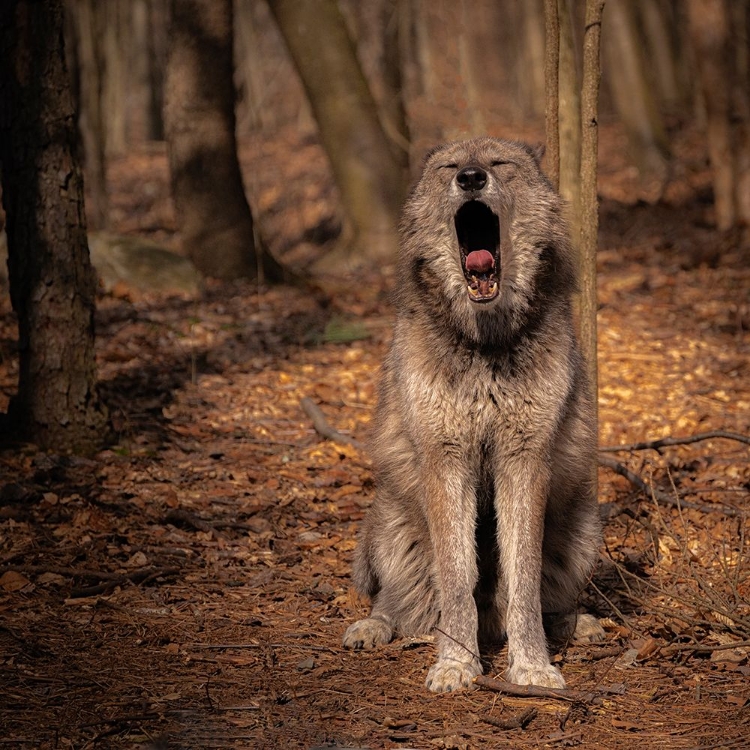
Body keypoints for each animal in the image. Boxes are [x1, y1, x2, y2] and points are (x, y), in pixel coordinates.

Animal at [342, 137, 604, 692]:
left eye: (500, 163)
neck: (484, 345)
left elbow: (523, 580)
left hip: (583, 529)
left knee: (547, 602)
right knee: (395, 604)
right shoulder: (446, 459)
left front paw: (532, 667)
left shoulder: (524, 460)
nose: (470, 177)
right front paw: (457, 664)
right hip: (389, 527)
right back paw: (372, 628)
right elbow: (457, 578)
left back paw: (579, 623)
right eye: (449, 167)